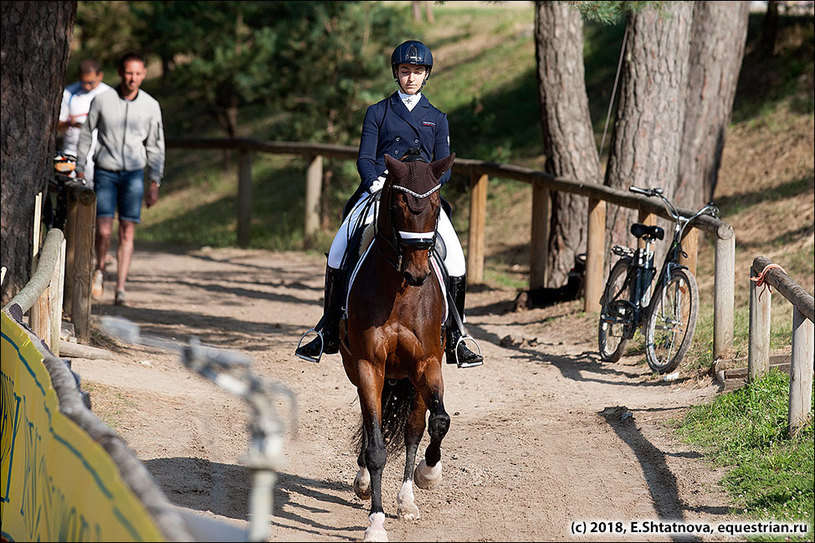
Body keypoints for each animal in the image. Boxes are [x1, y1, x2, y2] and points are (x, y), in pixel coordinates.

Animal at [338, 151, 456, 540]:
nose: (418, 273)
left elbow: (438, 422)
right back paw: (363, 482)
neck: (401, 293)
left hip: (412, 377)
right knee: (370, 423)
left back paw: (407, 499)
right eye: (400, 205)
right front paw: (376, 522)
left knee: (414, 428)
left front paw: (428, 474)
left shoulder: (428, 364)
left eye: (435, 205)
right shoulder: (368, 366)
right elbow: (375, 444)